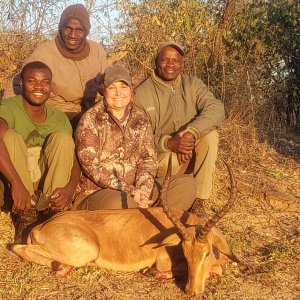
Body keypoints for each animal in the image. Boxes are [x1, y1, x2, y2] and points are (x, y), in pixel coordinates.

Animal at [7, 158, 239, 296]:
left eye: (206, 252)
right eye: (184, 251)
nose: (192, 291)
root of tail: (42, 227)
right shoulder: (163, 261)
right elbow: (215, 269)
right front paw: (152, 273)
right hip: (85, 250)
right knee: (17, 247)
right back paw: (61, 268)